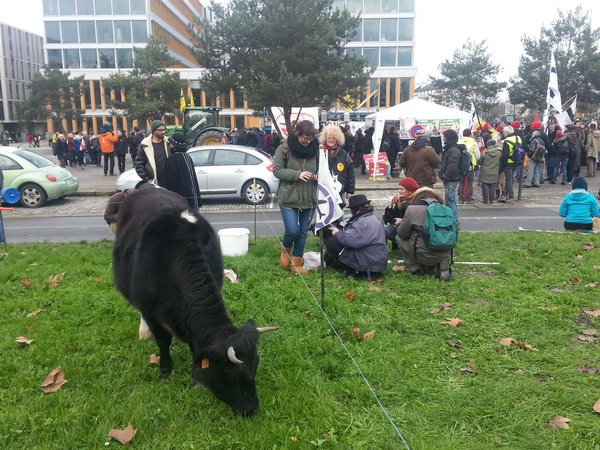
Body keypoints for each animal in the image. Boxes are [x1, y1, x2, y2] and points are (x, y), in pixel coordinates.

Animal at [112, 185, 276, 414]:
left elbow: (195, 347)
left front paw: (196, 377)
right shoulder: (152, 312)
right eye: (230, 374)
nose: (252, 410)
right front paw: (166, 370)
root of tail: (148, 186)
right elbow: (163, 341)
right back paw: (143, 332)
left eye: (255, 367)